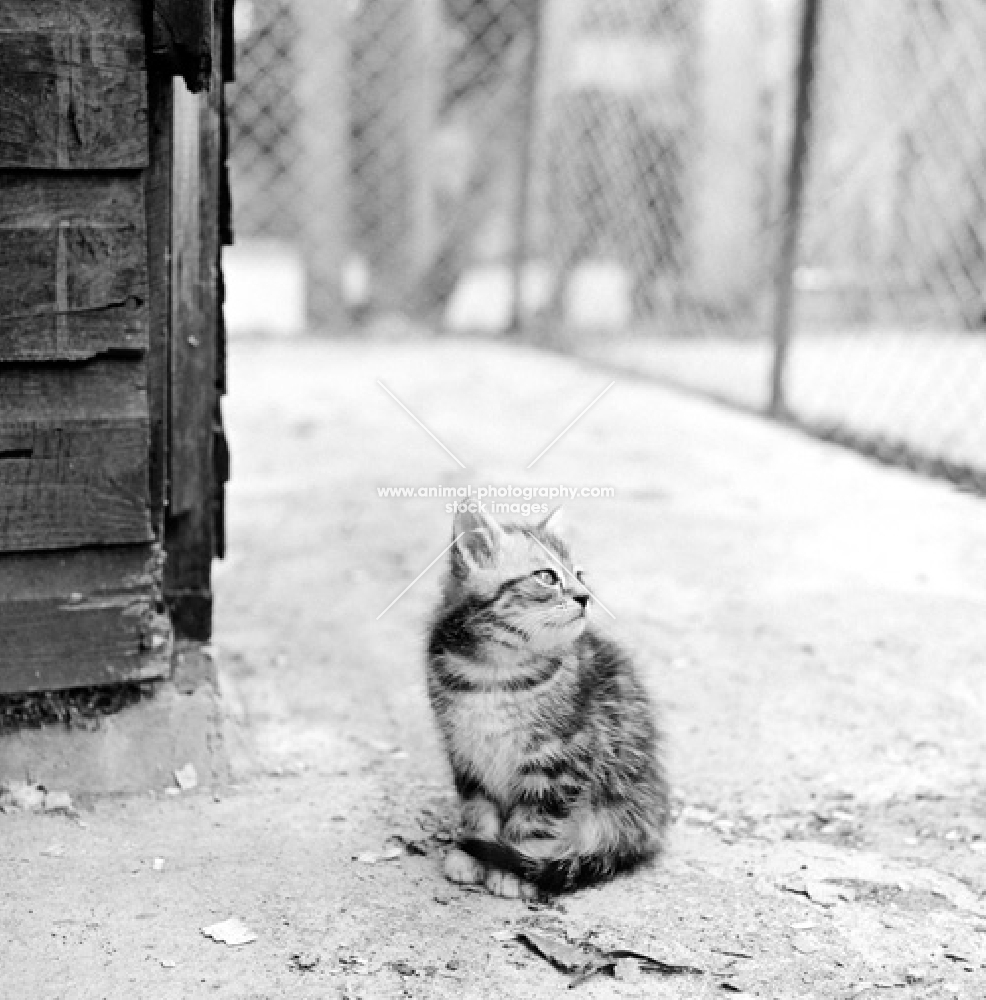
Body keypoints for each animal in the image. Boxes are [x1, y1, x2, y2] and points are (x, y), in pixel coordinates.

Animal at [424, 508, 668, 900]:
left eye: (580, 575)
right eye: (547, 577)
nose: (585, 597)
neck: (496, 672)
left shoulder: (561, 758)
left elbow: (536, 819)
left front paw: (513, 867)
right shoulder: (465, 750)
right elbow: (477, 806)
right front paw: (471, 851)